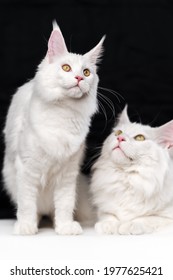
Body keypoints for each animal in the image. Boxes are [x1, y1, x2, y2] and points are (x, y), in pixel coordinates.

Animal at [2, 21, 104, 235]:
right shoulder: (27, 169)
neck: (63, 114)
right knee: (35, 208)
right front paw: (26, 226)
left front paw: (65, 226)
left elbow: (65, 204)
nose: (79, 78)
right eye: (66, 68)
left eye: (86, 72)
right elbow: (27, 204)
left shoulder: (68, 174)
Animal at [90, 106, 173, 234]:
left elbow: (148, 218)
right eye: (118, 132)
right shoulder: (104, 209)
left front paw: (129, 225)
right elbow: (109, 216)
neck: (127, 178)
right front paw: (109, 225)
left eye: (140, 138)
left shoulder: (167, 218)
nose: (120, 138)